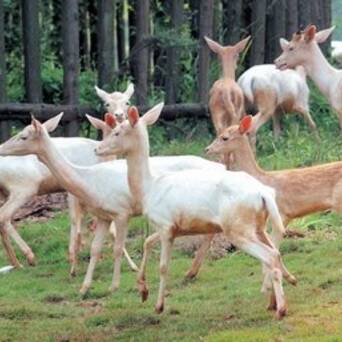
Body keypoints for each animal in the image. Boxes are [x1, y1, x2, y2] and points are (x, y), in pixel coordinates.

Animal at [95, 105, 296, 320]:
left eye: (117, 132)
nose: (97, 148)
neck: (148, 189)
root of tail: (264, 193)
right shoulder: (172, 227)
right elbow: (147, 242)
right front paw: (143, 291)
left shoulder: (165, 225)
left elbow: (163, 267)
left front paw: (159, 306)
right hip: (257, 226)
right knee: (276, 253)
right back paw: (275, 300)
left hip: (237, 228)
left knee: (269, 255)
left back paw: (281, 309)